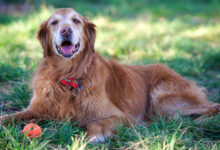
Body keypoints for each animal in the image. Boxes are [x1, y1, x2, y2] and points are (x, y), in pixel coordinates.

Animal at [0, 8, 220, 143]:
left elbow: (96, 122)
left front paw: (94, 136)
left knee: (213, 106)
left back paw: (200, 122)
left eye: (76, 20)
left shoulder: (122, 117)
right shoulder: (37, 109)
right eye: (54, 22)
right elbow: (8, 116)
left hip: (162, 99)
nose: (65, 31)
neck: (68, 77)